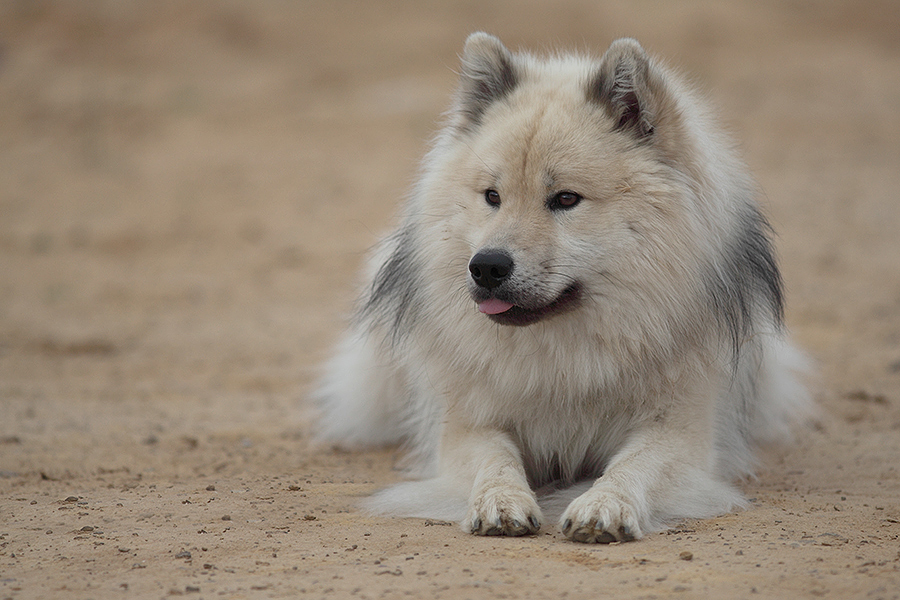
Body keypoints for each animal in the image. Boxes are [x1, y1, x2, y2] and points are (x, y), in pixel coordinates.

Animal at [314, 32, 808, 540]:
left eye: (566, 199)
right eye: (492, 196)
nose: (486, 266)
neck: (564, 360)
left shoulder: (679, 433)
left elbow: (634, 465)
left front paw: (603, 506)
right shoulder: (467, 427)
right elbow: (494, 459)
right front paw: (500, 500)